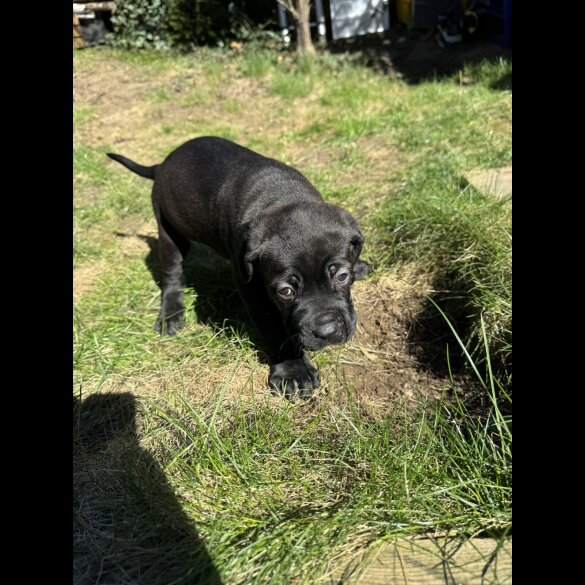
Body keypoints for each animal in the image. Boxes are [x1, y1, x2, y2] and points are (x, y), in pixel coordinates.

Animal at [107, 136, 368, 396]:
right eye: (285, 291)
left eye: (342, 276)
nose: (327, 332)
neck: (281, 197)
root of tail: (160, 165)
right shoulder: (253, 289)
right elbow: (274, 327)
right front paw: (293, 370)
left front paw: (359, 266)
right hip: (168, 229)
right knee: (172, 273)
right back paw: (171, 314)